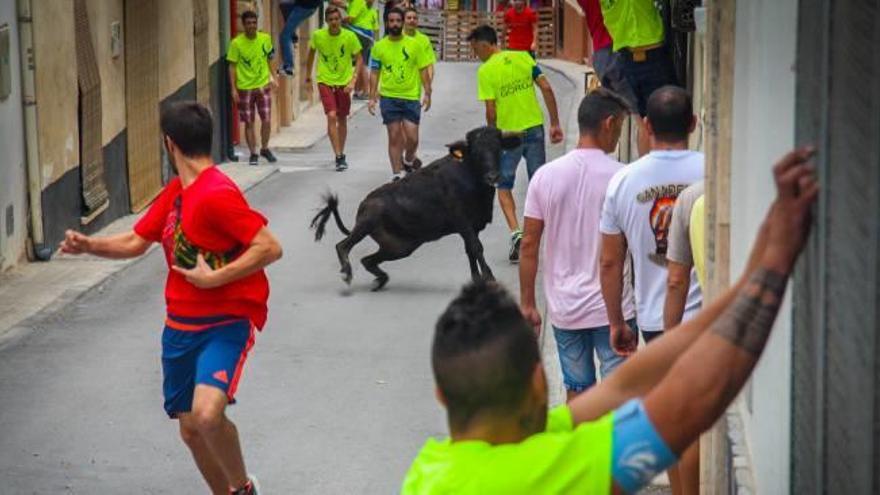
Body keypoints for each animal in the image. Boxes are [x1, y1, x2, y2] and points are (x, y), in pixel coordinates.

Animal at [310, 126, 520, 292]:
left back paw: (380, 280)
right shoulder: (463, 223)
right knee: (343, 245)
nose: (493, 177)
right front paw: (489, 278)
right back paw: (347, 273)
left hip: (399, 247)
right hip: (367, 223)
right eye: (475, 152)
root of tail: (363, 206)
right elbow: (476, 248)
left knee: (367, 260)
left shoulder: (473, 226)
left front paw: (477, 280)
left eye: (498, 148)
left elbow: (470, 250)